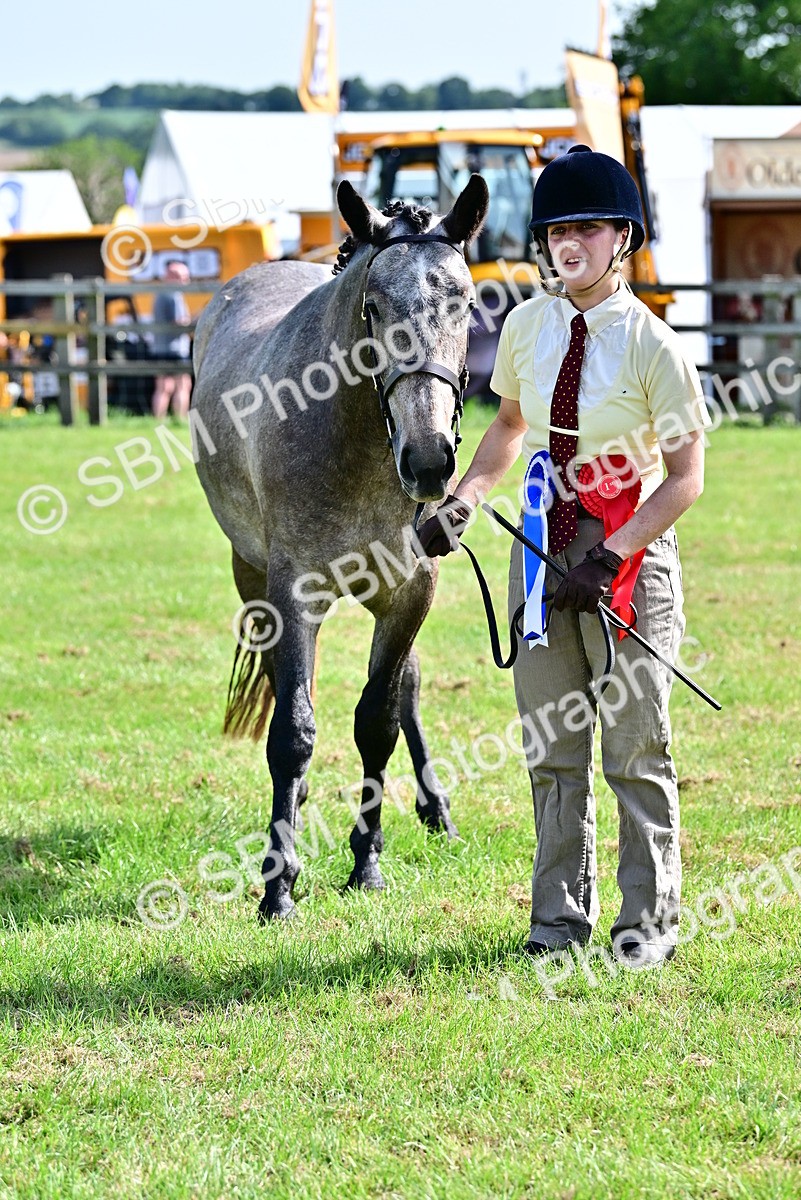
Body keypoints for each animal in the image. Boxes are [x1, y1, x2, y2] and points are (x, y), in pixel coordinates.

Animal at [191, 175, 489, 920]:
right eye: (374, 308)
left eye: (465, 303)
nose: (429, 459)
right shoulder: (293, 594)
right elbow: (293, 730)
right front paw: (277, 885)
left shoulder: (410, 594)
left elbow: (379, 719)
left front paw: (367, 864)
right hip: (251, 574)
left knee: (406, 689)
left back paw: (436, 809)